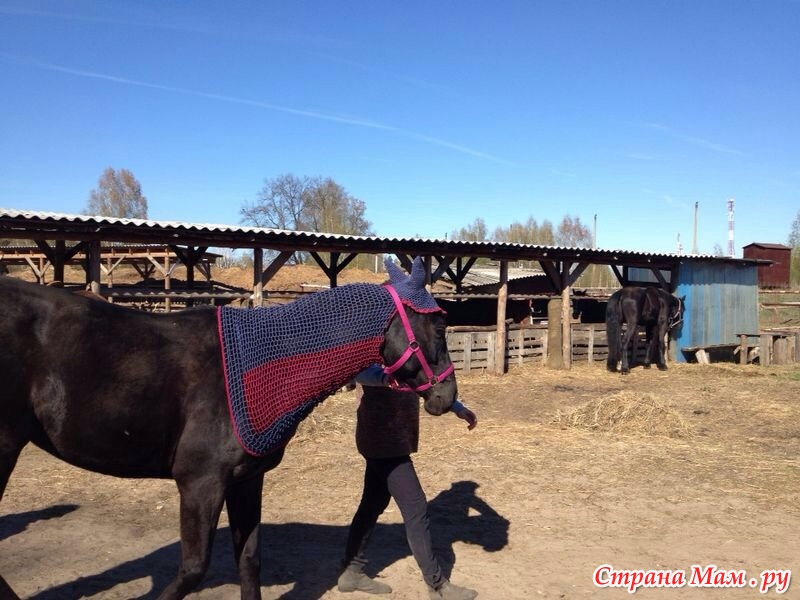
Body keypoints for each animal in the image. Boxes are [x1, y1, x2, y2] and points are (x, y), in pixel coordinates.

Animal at [0, 258, 456, 600]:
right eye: (439, 327)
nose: (446, 395)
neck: (258, 367)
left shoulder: (245, 481)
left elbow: (249, 560)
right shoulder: (200, 484)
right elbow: (192, 569)